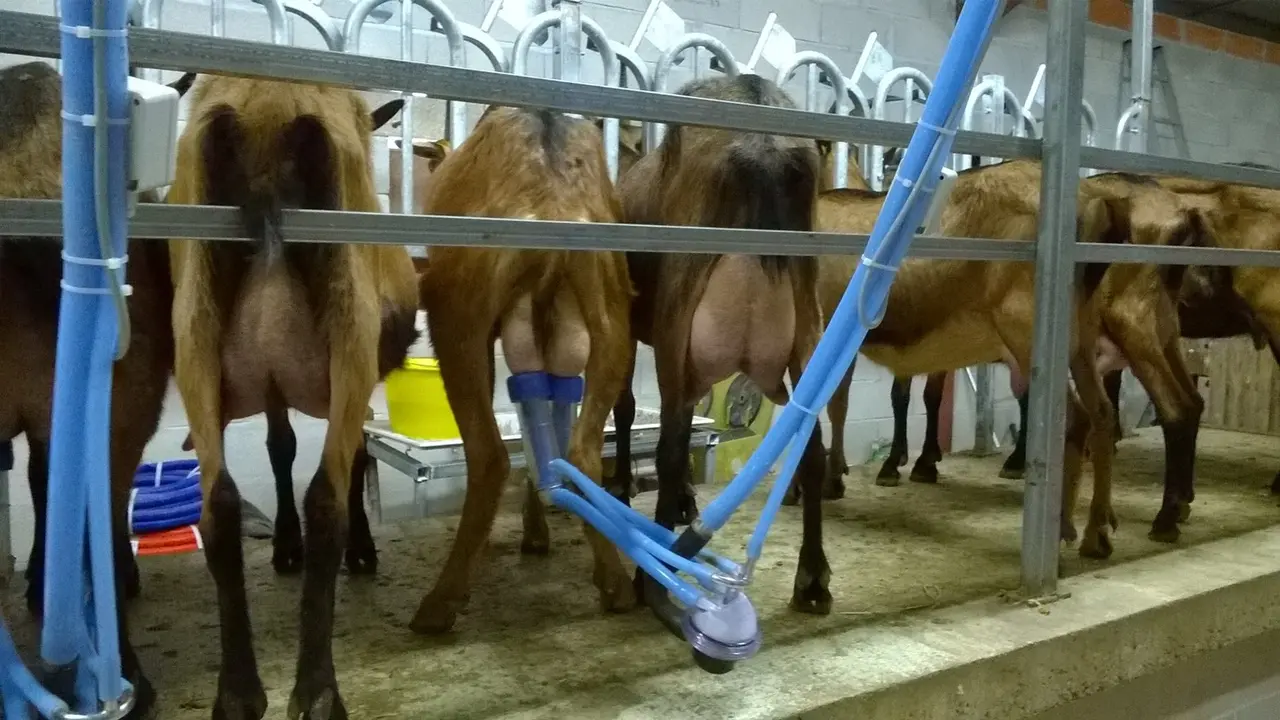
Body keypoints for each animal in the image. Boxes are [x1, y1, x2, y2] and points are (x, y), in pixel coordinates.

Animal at [165, 75, 414, 712]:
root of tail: (266, 110)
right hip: (351, 334)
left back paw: (237, 695)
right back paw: (319, 693)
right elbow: (342, 459)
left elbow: (280, 448)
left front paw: (283, 546)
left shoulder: (274, 386)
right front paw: (354, 548)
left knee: (220, 506)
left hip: (194, 336)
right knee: (325, 498)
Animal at [407, 103, 637, 630]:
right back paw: (615, 583)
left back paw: (441, 602)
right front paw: (537, 532)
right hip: (613, 320)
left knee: (489, 454)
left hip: (457, 320)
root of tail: (551, 200)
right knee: (578, 449)